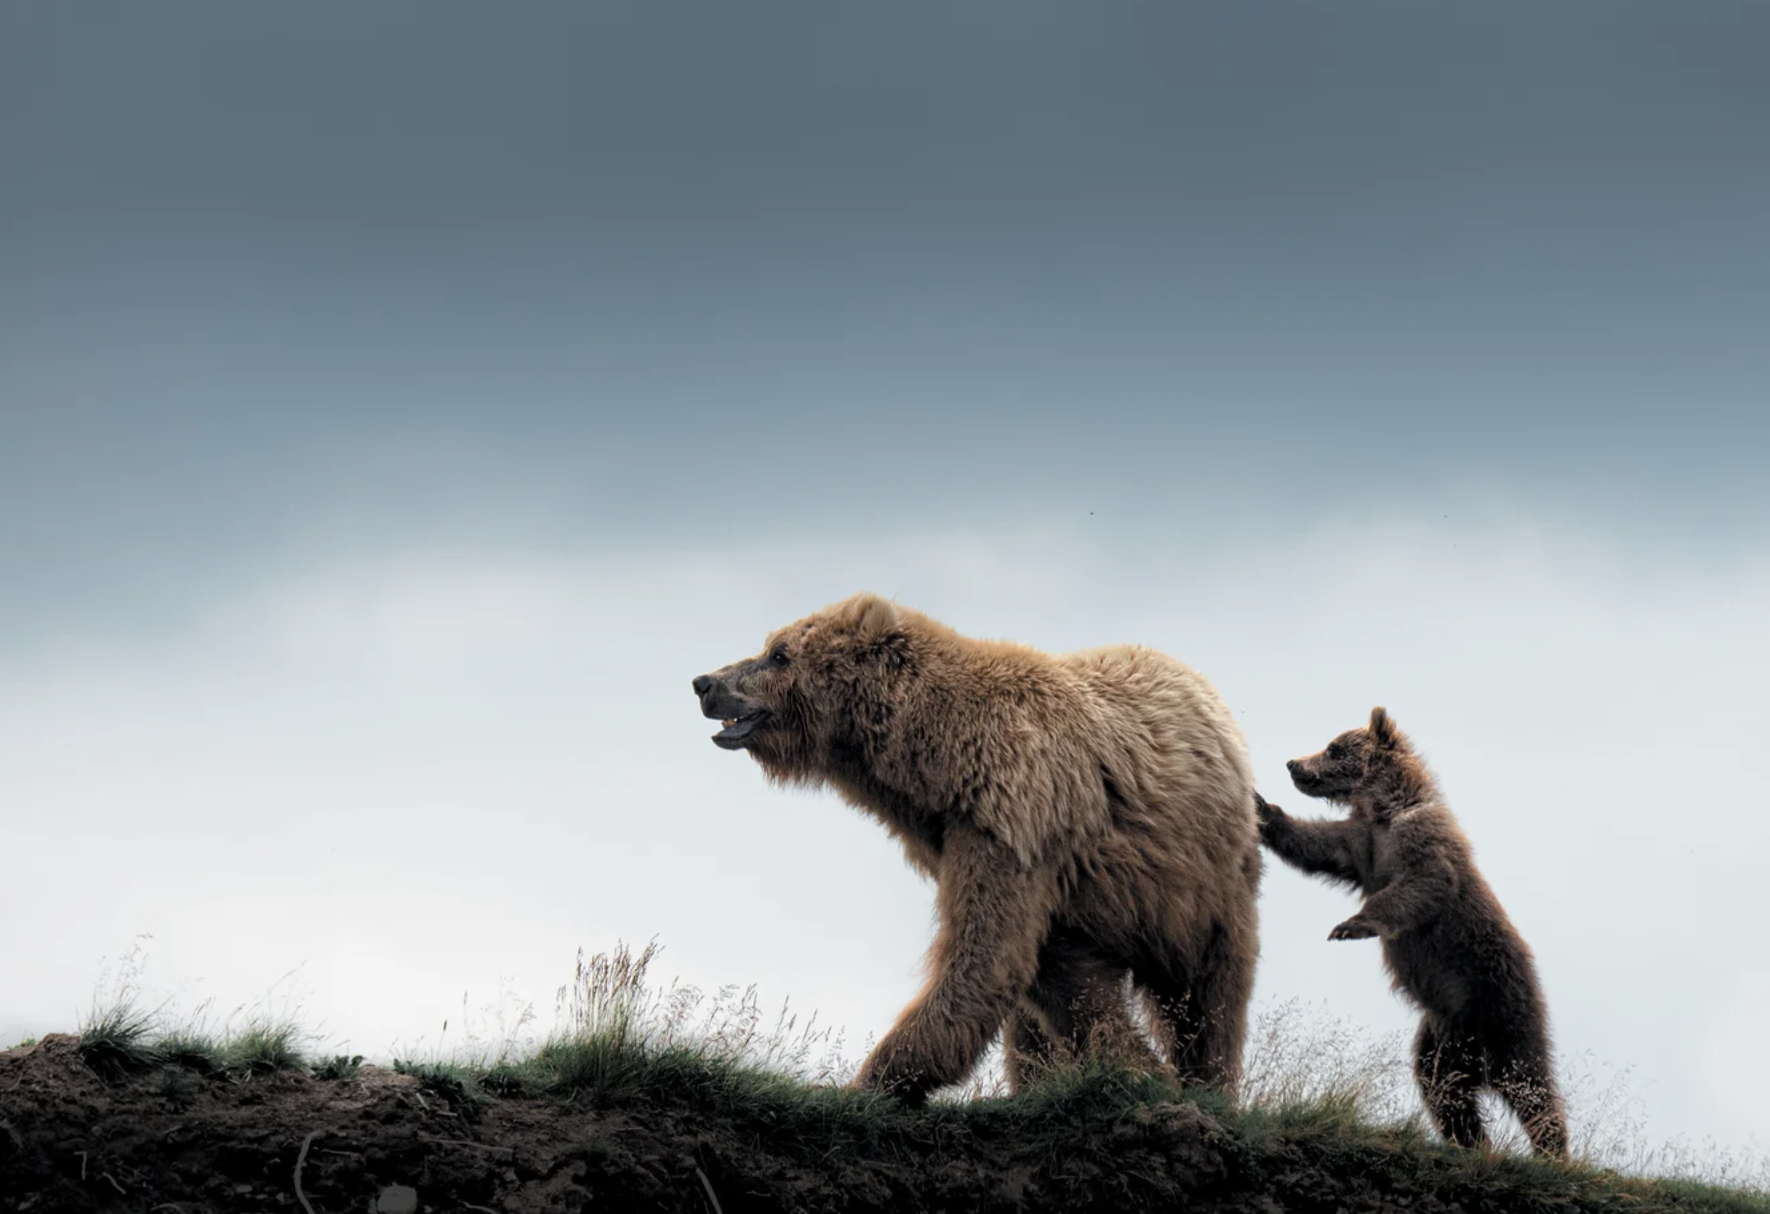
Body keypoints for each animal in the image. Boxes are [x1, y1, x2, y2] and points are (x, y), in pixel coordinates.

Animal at [691, 592, 1264, 1106]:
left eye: (778, 652)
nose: (704, 682)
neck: (937, 758)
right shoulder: (967, 845)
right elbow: (1054, 976)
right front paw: (1126, 1065)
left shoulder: (1011, 822)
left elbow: (984, 958)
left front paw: (864, 1082)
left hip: (1203, 879)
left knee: (1208, 992)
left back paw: (1209, 1082)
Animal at [1255, 707, 1568, 1157]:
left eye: (1333, 748)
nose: (1294, 763)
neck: (1384, 809)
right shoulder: (1362, 845)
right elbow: (1316, 845)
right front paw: (1262, 809)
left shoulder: (1420, 843)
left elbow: (1422, 883)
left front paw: (1350, 925)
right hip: (1444, 1038)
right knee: (1442, 1088)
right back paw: (1469, 1141)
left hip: (1499, 1003)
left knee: (1528, 1082)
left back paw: (1552, 1149)